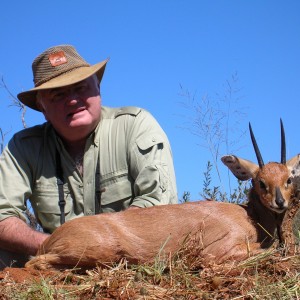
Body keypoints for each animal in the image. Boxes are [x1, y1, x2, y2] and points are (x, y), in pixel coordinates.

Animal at [25, 120, 300, 270]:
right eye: (260, 182)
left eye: (288, 178)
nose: (279, 202)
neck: (249, 217)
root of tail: (52, 238)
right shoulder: (217, 251)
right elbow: (271, 250)